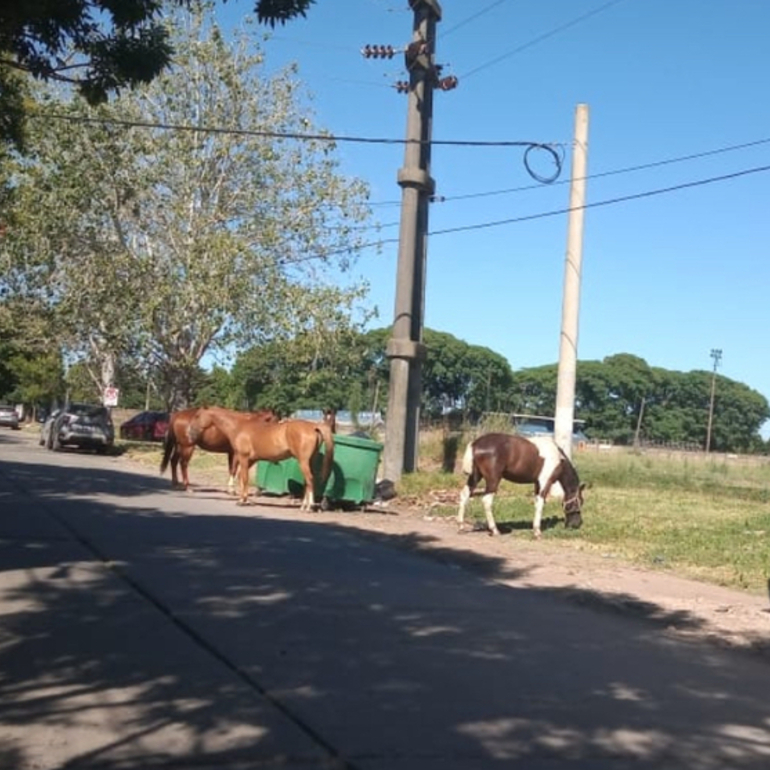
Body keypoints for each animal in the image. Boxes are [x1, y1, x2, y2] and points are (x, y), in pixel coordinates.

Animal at [188, 404, 332, 508]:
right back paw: (303, 505)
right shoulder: (250, 460)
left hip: (303, 461)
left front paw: (242, 501)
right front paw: (245, 499)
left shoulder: (243, 458)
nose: (189, 432)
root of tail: (313, 426)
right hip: (309, 461)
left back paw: (309, 506)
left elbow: (244, 478)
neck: (239, 427)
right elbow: (241, 478)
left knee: (310, 479)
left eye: (197, 416)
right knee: (308, 481)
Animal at [456, 428, 584, 536]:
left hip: (475, 476)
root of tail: (475, 444)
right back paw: (495, 530)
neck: (558, 457)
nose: (576, 524)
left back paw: (461, 525)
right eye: (580, 502)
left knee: (464, 495)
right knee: (487, 500)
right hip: (493, 479)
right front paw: (537, 531)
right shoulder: (544, 482)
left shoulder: (537, 483)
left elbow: (537, 503)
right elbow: (541, 504)